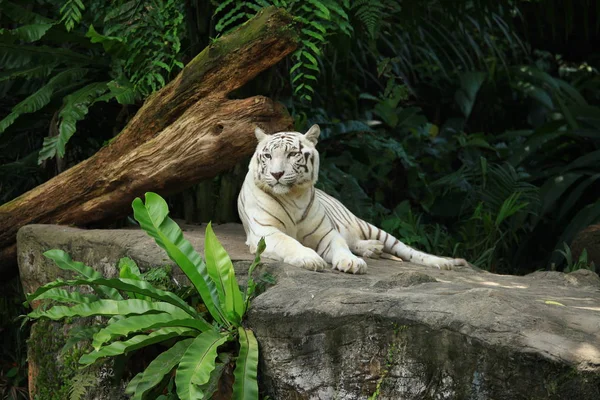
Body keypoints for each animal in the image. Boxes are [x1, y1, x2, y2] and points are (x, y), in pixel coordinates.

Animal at [238, 125, 468, 276]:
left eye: (293, 154)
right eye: (268, 156)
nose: (276, 174)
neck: (293, 196)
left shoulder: (326, 232)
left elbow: (339, 245)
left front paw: (351, 262)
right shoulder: (266, 231)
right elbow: (289, 242)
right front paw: (309, 258)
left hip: (373, 228)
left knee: (410, 251)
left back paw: (442, 263)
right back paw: (371, 249)